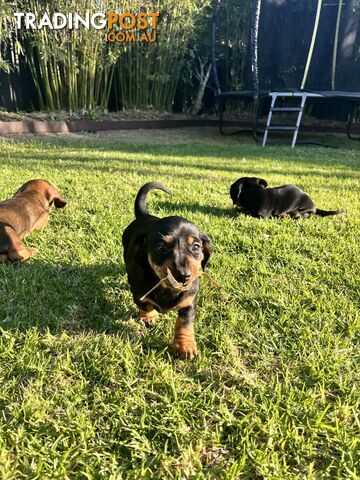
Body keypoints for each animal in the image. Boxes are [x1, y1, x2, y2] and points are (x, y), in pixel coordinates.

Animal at [122, 182, 211, 358]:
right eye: (161, 247)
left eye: (196, 247)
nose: (184, 276)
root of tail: (144, 216)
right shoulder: (138, 292)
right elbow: (145, 305)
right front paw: (150, 317)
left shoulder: (189, 300)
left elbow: (185, 321)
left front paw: (185, 345)